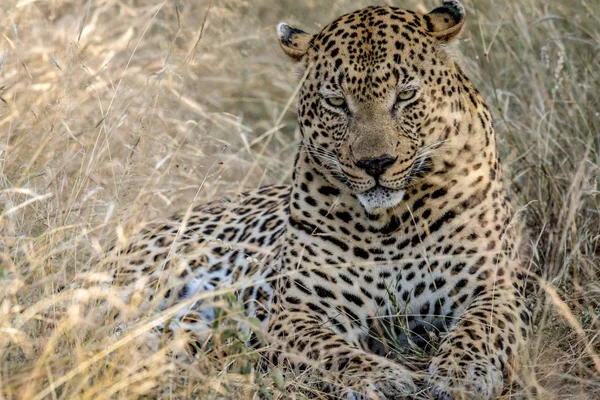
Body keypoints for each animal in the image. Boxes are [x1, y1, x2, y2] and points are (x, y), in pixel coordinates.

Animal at [105, 1, 532, 398]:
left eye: (406, 96)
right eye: (337, 102)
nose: (376, 163)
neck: (389, 225)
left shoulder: (497, 289)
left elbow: (479, 332)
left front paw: (463, 373)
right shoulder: (299, 313)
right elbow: (332, 352)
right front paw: (383, 378)